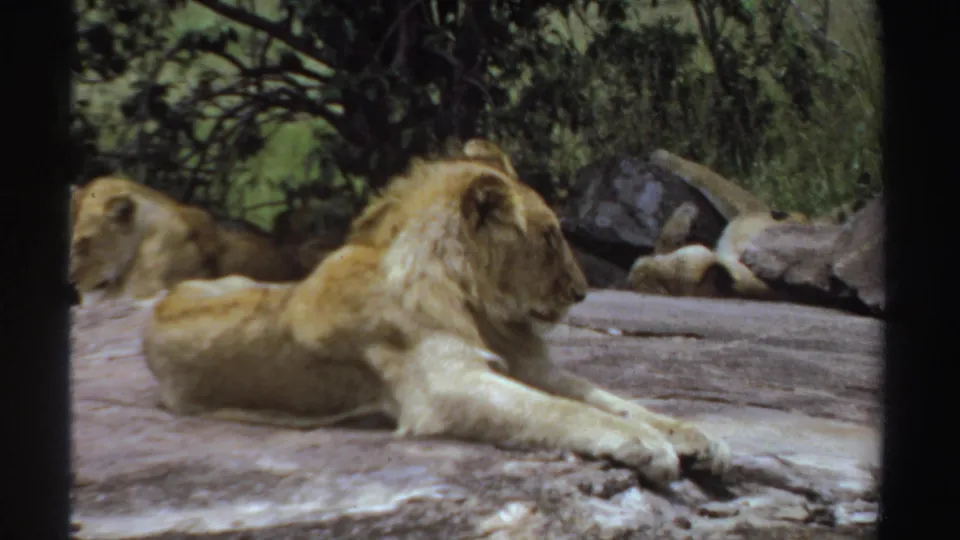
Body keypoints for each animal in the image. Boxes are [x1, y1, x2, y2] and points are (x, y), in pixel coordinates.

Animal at [142, 139, 731, 488]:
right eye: (548, 237)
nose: (582, 292)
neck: (476, 302)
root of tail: (163, 300)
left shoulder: (532, 367)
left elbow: (614, 400)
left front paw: (695, 436)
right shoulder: (446, 385)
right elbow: (564, 412)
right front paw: (648, 447)